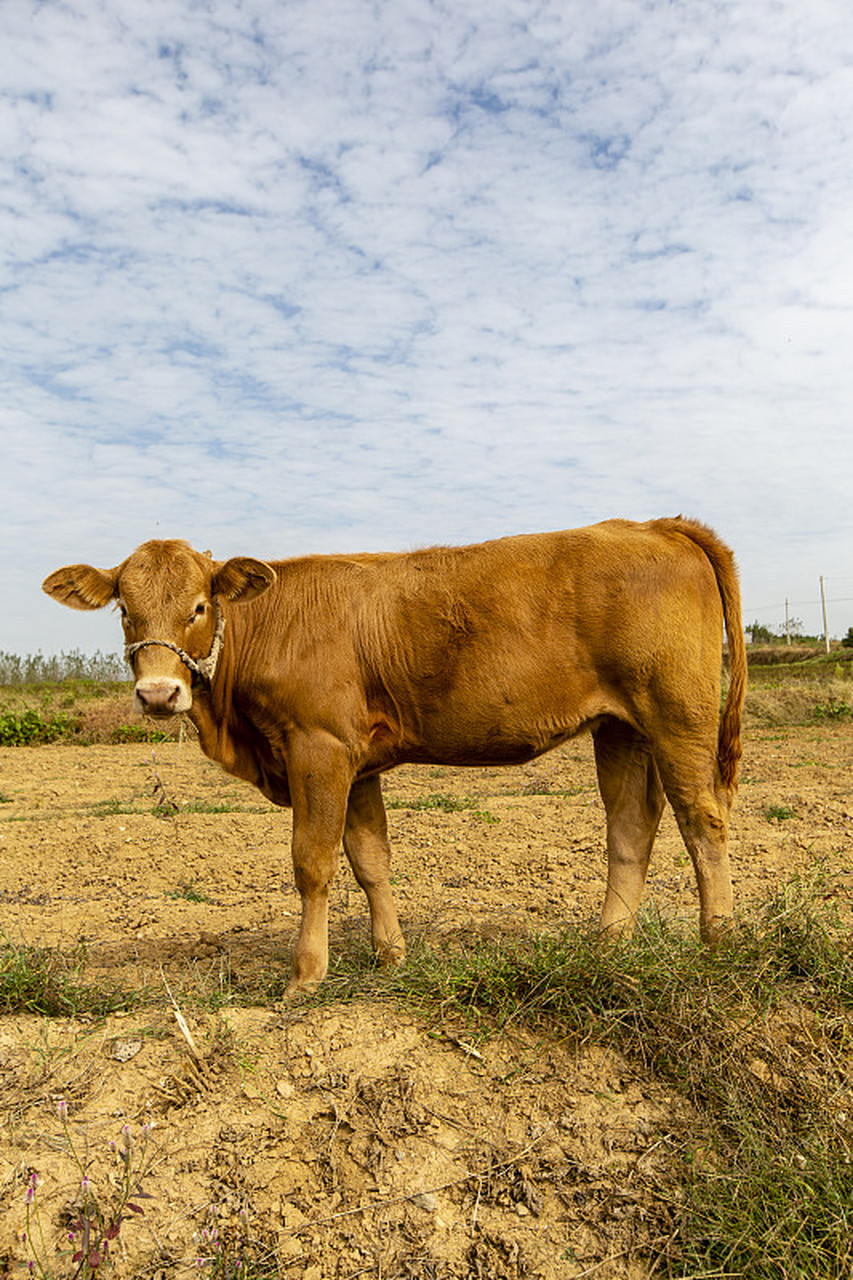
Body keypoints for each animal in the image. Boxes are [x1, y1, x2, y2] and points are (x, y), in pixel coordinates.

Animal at [43, 517, 742, 988]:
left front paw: (306, 973)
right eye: (125, 611)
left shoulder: (318, 748)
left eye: (198, 606)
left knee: (702, 820)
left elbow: (313, 862)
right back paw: (609, 944)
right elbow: (369, 859)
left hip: (677, 715)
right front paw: (390, 956)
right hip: (620, 727)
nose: (158, 694)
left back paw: (718, 943)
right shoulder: (356, 764)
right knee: (631, 827)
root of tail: (655, 524)